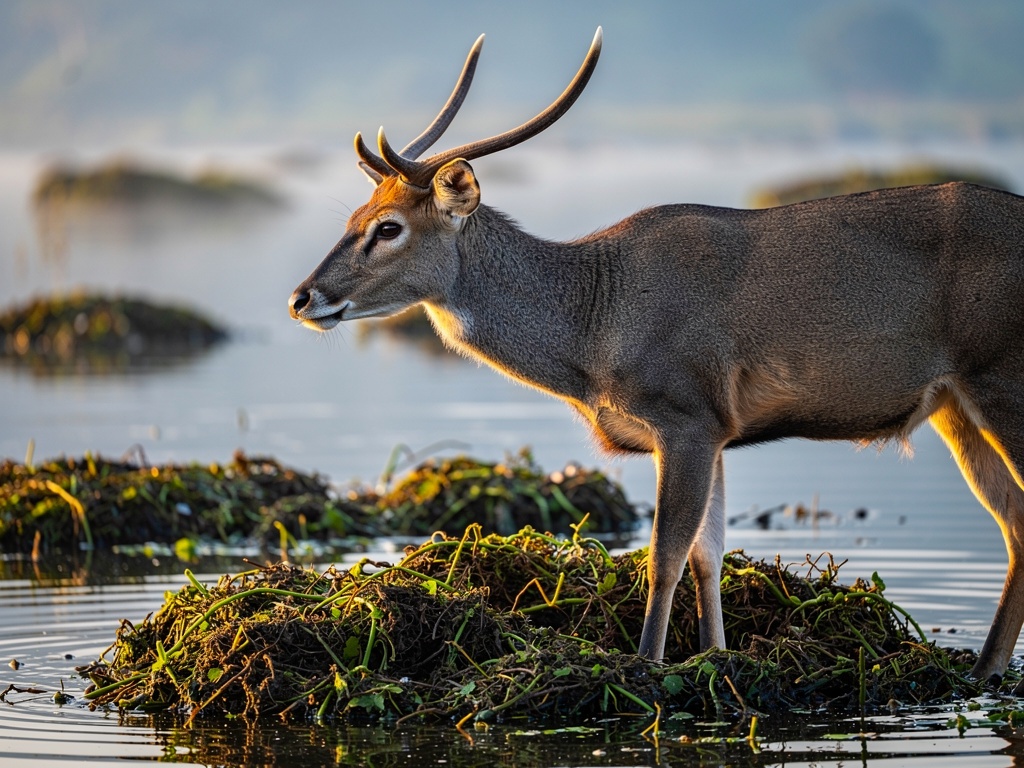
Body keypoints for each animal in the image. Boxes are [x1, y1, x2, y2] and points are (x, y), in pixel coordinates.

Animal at [289, 28, 1024, 683]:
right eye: (353, 215)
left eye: (389, 228)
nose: (303, 297)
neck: (595, 325)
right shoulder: (718, 429)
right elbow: (709, 555)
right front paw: (717, 659)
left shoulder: (686, 414)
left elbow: (664, 556)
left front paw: (645, 665)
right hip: (955, 405)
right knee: (1015, 519)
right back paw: (980, 671)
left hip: (1000, 376)